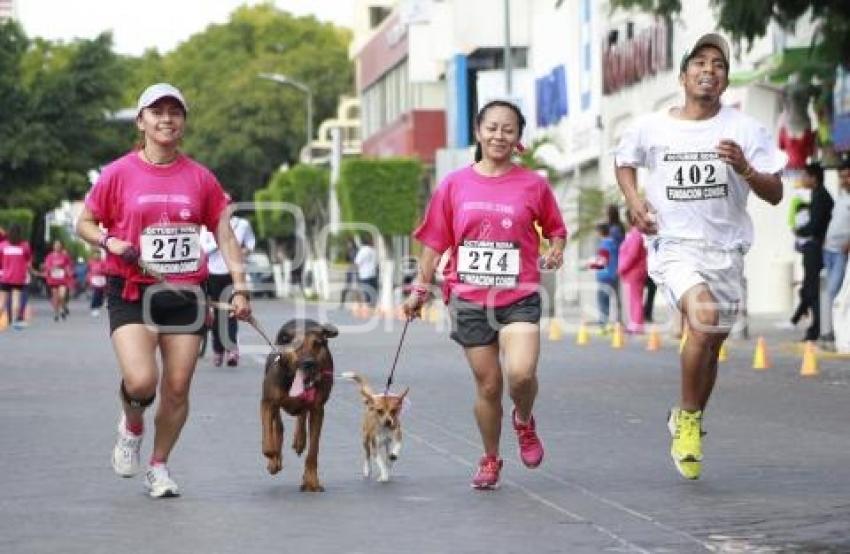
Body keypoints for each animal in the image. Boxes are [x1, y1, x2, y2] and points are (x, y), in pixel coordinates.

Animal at [260, 316, 336, 490]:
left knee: (301, 416)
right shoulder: (268, 403)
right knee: (278, 426)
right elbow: (268, 440)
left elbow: (313, 450)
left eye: (317, 344)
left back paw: (300, 440)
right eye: (297, 345)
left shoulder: (317, 410)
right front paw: (273, 458)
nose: (309, 363)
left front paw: (311, 480)